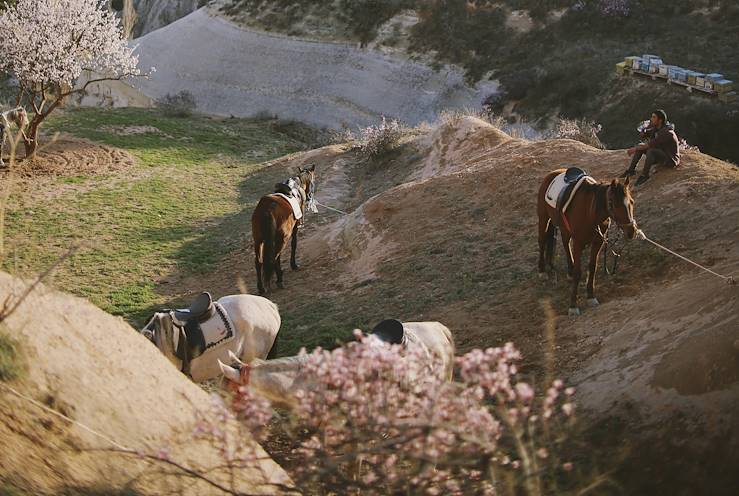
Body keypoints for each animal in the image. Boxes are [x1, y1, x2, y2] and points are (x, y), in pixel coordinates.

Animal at [253, 165, 316, 294]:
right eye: (313, 180)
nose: (309, 196)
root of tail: (267, 209)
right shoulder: (294, 229)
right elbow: (294, 244)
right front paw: (293, 265)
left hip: (258, 240)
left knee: (259, 262)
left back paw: (261, 287)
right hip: (282, 238)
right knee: (274, 257)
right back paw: (279, 279)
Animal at [540, 169, 640, 316]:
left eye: (631, 202)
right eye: (615, 205)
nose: (631, 231)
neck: (591, 212)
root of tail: (554, 173)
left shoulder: (598, 242)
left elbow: (592, 267)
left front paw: (591, 296)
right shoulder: (578, 243)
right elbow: (578, 272)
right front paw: (573, 306)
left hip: (564, 228)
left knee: (565, 242)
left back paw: (569, 270)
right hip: (543, 219)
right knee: (542, 241)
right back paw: (542, 271)